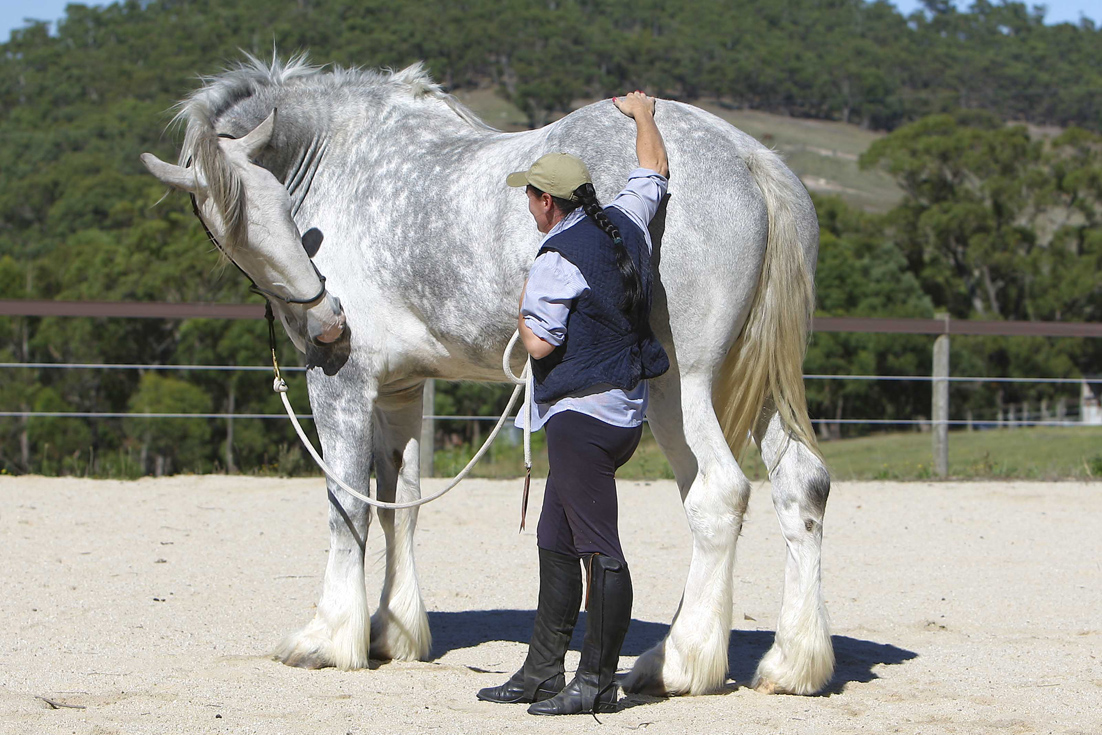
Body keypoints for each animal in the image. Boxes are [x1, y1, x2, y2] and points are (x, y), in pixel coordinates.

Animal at [144, 54, 833, 700]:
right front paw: (394, 633)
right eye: (233, 225)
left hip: (677, 390)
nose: (328, 325)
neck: (341, 155)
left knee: (717, 496)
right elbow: (400, 504)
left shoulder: (343, 384)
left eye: (279, 208)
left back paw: (679, 663)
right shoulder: (401, 389)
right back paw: (791, 664)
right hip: (759, 389)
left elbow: (348, 507)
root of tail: (746, 157)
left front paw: (327, 638)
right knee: (802, 488)